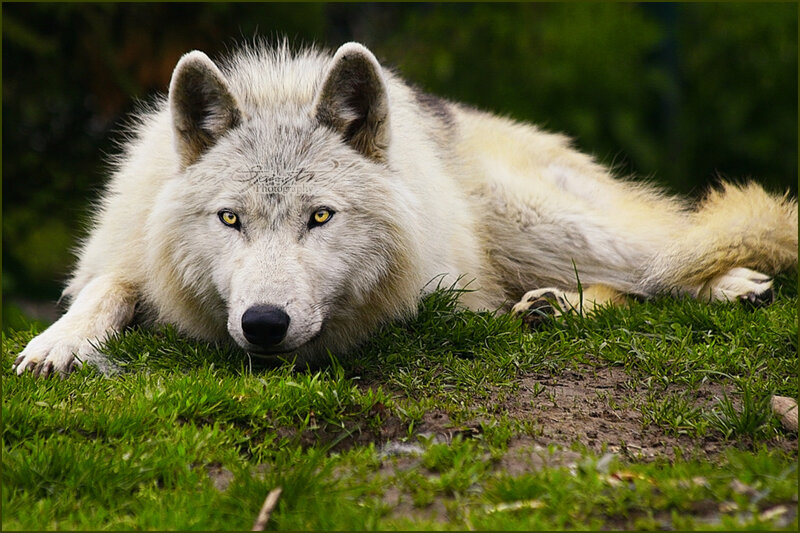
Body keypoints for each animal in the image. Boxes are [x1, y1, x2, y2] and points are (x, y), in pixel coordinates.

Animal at [13, 41, 798, 377]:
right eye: (230, 220)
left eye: (321, 217)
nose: (264, 323)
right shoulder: (120, 253)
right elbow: (108, 286)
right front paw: (59, 341)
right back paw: (548, 307)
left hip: (539, 223)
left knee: (667, 260)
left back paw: (734, 285)